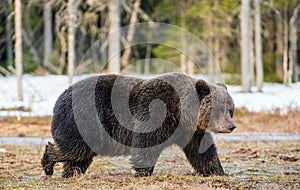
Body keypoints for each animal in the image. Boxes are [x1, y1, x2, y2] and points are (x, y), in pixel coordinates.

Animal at [41, 73, 236, 178]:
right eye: (220, 109)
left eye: (231, 109)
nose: (231, 126)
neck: (181, 111)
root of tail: (60, 97)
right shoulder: (158, 112)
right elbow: (146, 142)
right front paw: (143, 171)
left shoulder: (189, 130)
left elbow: (202, 151)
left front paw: (218, 171)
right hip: (85, 119)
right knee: (76, 148)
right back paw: (49, 161)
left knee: (79, 156)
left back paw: (71, 173)